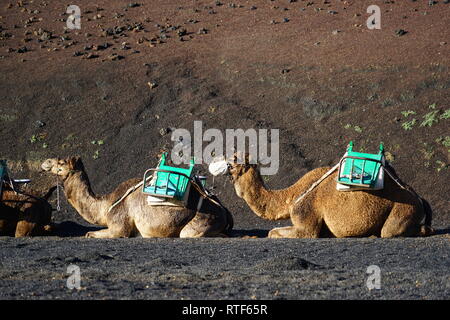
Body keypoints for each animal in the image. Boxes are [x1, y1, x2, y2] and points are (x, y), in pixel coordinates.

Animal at [40, 157, 234, 238]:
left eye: (61, 162)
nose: (45, 162)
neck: (106, 204)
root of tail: (224, 210)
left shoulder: (119, 227)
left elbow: (89, 234)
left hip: (203, 220)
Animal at [209, 154, 434, 239]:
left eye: (232, 161)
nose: (213, 162)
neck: (291, 197)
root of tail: (418, 198)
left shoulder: (306, 222)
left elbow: (273, 232)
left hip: (403, 209)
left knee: (390, 231)